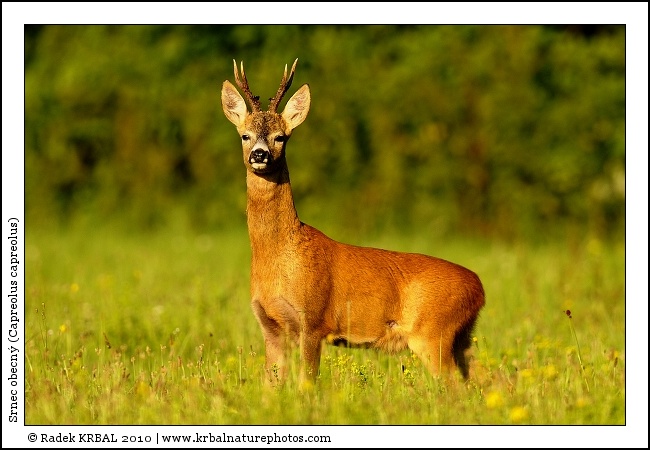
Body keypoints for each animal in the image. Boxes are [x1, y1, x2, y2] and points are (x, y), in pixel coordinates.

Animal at [221, 59, 485, 384]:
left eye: (280, 136)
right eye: (244, 135)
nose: (260, 154)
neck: (279, 255)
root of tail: (479, 288)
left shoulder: (314, 319)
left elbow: (307, 383)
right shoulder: (270, 325)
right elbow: (271, 385)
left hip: (434, 333)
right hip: (462, 338)